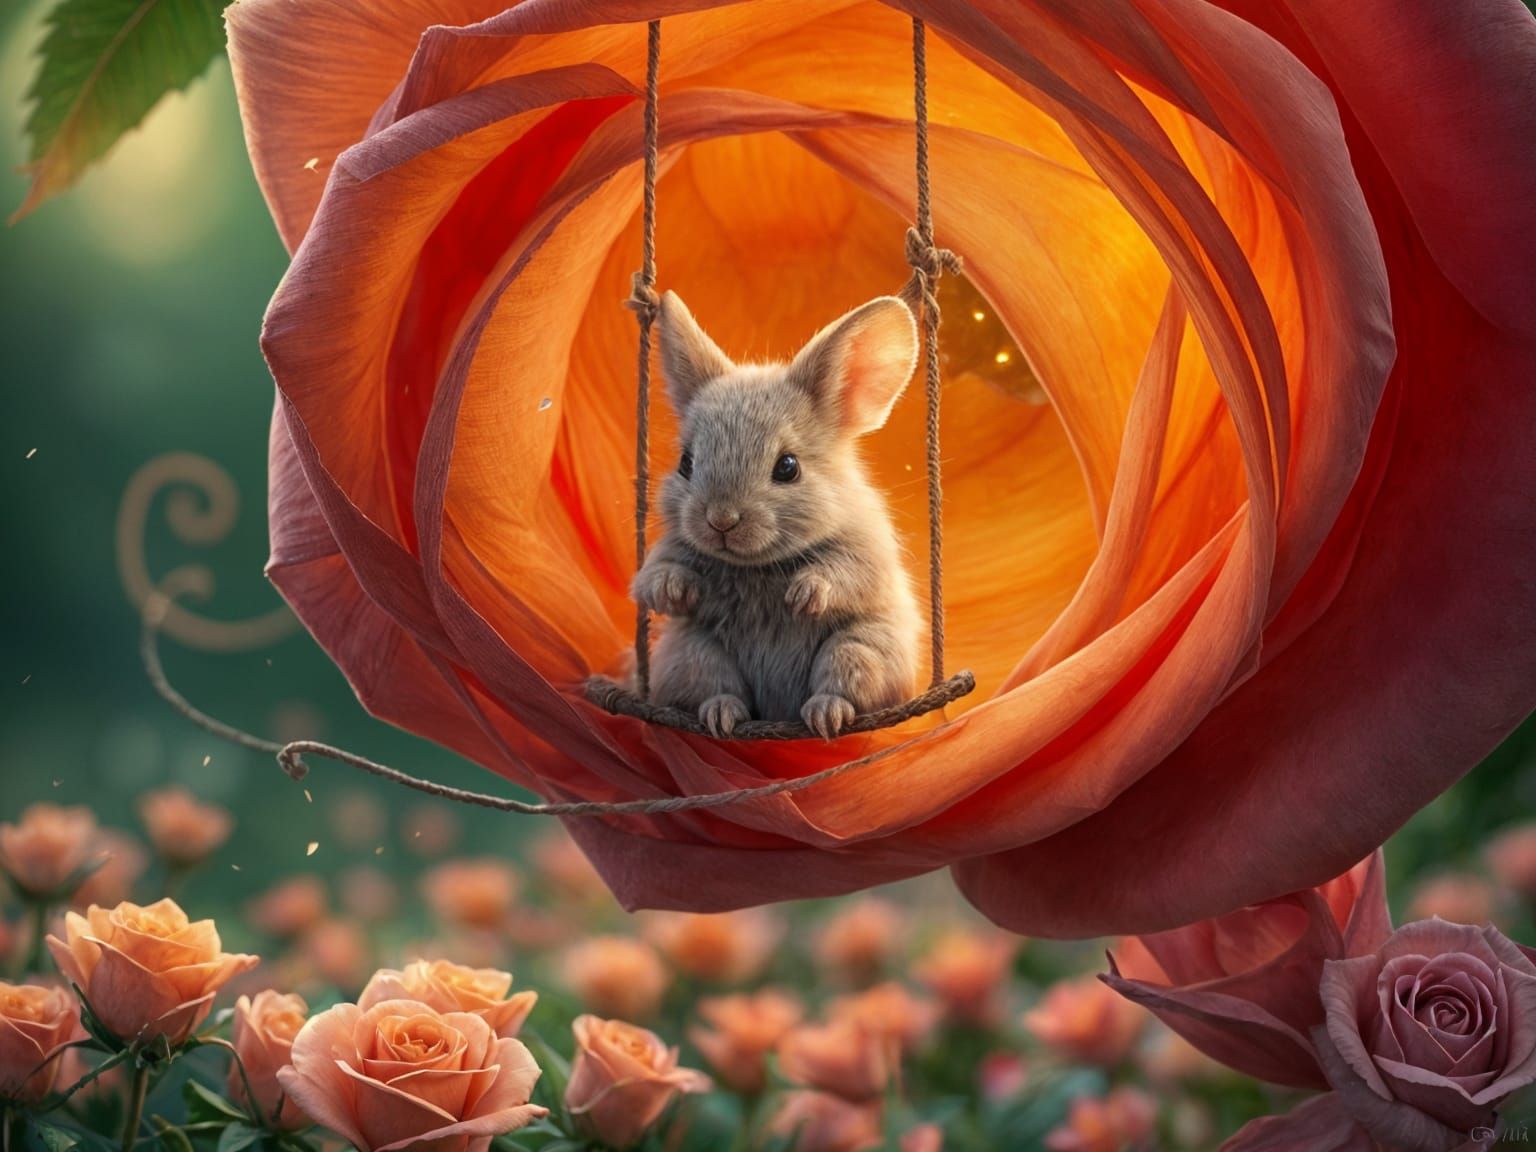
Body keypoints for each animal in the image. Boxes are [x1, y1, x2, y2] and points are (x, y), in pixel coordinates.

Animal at [631, 291, 922, 739]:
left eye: (788, 467)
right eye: (686, 463)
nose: (720, 520)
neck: (758, 565)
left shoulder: (868, 552)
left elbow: (847, 573)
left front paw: (804, 593)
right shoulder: (667, 550)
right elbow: (651, 577)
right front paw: (673, 589)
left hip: (862, 650)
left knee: (843, 685)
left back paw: (826, 715)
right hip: (690, 653)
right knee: (714, 689)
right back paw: (722, 715)